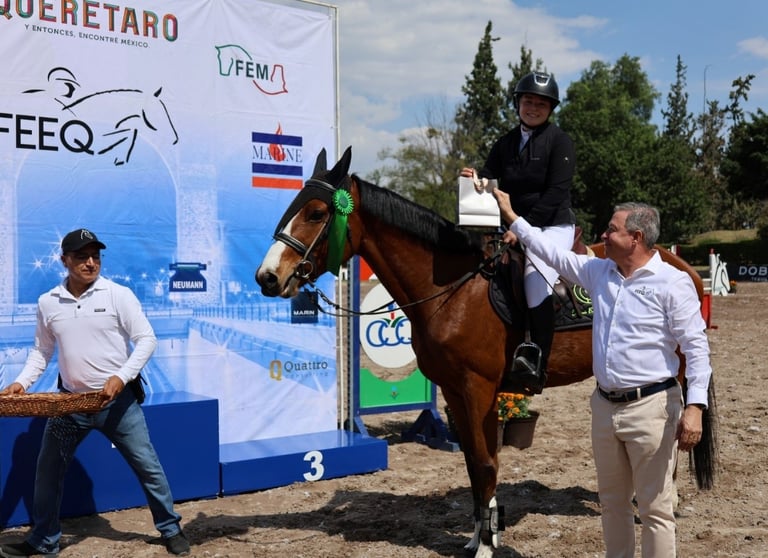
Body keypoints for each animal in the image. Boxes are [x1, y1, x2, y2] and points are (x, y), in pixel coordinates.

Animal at [255, 146, 718, 558]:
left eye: (317, 213)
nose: (268, 277)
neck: (453, 289)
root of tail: (681, 266)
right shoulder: (454, 391)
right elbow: (472, 466)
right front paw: (478, 536)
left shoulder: (478, 389)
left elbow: (486, 463)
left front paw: (487, 545)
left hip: (677, 374)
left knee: (671, 443)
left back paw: (659, 503)